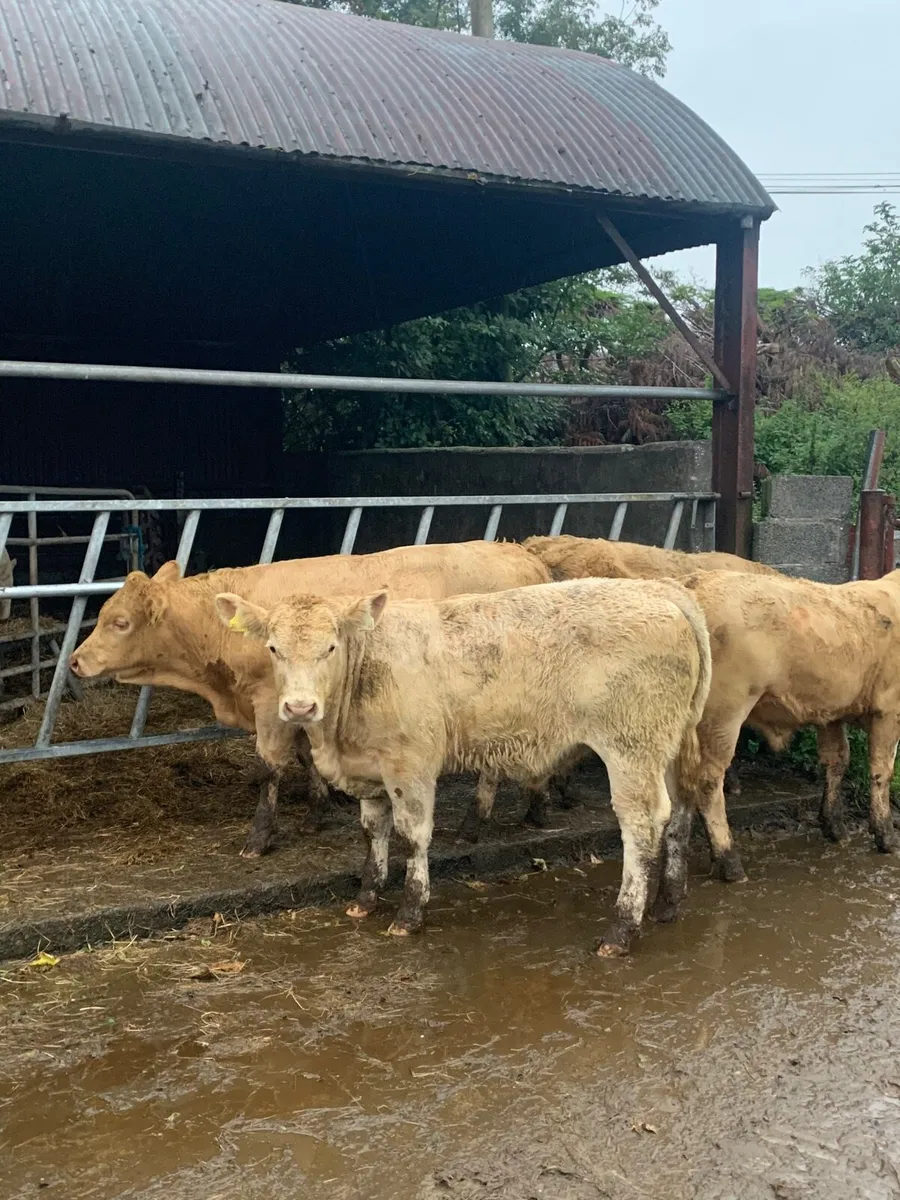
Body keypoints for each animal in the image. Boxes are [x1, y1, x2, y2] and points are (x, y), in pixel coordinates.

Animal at [68, 541, 550, 857]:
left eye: (120, 622)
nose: (75, 661)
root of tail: (524, 557)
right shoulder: (298, 703)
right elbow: (305, 754)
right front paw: (317, 811)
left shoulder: (270, 702)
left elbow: (270, 766)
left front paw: (260, 837)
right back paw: (536, 807)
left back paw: (477, 821)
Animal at [214, 577, 712, 955]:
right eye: (273, 648)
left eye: (331, 647)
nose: (299, 707)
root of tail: (660, 588)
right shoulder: (372, 769)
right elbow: (374, 831)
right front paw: (366, 897)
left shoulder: (410, 764)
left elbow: (412, 835)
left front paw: (410, 912)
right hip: (668, 743)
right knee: (681, 809)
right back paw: (668, 902)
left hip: (631, 746)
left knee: (642, 824)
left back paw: (622, 928)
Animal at [651, 568, 900, 921]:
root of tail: (693, 582)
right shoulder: (889, 707)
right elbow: (881, 769)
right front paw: (885, 834)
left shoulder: (831, 711)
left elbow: (837, 760)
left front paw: (835, 825)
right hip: (724, 711)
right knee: (709, 783)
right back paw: (729, 861)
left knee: (679, 795)